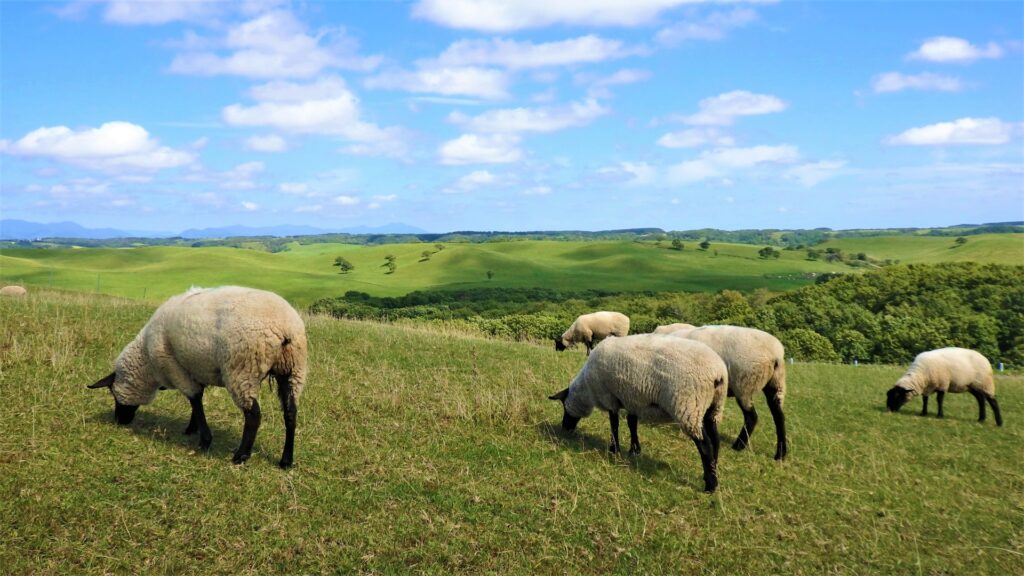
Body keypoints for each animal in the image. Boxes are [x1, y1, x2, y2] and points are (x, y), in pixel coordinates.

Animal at [88, 284, 307, 467]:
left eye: (113, 393)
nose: (119, 421)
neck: (147, 363)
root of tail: (284, 327)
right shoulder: (195, 370)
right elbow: (197, 401)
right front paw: (193, 428)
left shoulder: (175, 368)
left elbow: (194, 398)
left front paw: (204, 440)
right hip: (293, 370)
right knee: (290, 412)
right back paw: (286, 460)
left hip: (242, 370)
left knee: (253, 416)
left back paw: (240, 456)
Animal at [552, 334, 729, 491]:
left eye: (564, 407)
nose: (565, 428)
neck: (587, 389)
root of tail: (718, 373)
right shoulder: (633, 400)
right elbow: (632, 424)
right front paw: (634, 450)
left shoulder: (610, 397)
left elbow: (614, 424)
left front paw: (614, 450)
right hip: (713, 407)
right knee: (715, 440)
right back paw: (713, 468)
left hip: (690, 406)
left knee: (705, 445)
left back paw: (710, 485)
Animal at [659, 323, 786, 457]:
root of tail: (776, 354)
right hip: (775, 383)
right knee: (779, 416)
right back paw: (780, 454)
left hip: (744, 385)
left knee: (751, 416)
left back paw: (738, 446)